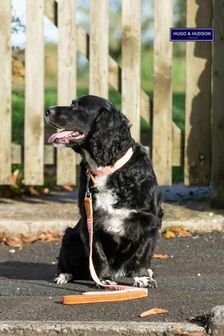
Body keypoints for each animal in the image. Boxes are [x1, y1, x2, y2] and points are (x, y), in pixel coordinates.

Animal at [45, 95, 162, 288]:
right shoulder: (90, 222)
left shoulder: (149, 221)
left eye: (78, 107)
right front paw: (104, 280)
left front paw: (142, 277)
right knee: (65, 261)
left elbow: (142, 253)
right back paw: (64, 274)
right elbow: (98, 254)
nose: (48, 110)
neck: (107, 170)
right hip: (70, 236)